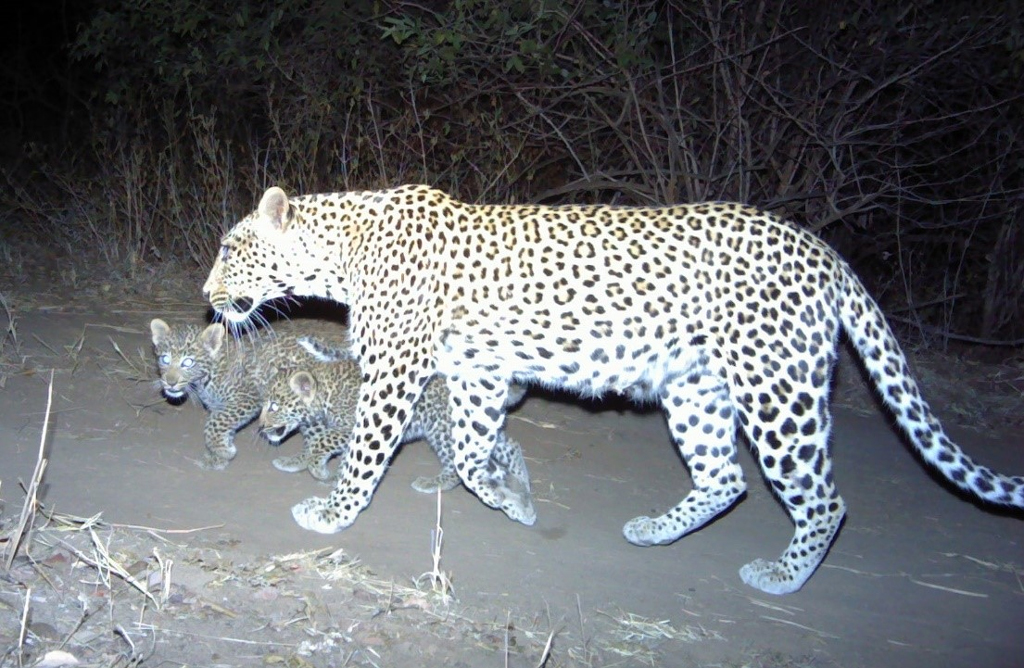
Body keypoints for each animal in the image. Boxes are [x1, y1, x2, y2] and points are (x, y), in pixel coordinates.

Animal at [201, 184, 1024, 594]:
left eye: (231, 249)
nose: (207, 296)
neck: (337, 254)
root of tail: (823, 249)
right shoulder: (479, 372)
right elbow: (471, 452)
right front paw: (511, 498)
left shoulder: (400, 366)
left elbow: (372, 448)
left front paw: (332, 513)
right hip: (695, 389)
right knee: (725, 479)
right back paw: (656, 531)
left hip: (775, 386)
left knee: (823, 498)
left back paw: (782, 577)